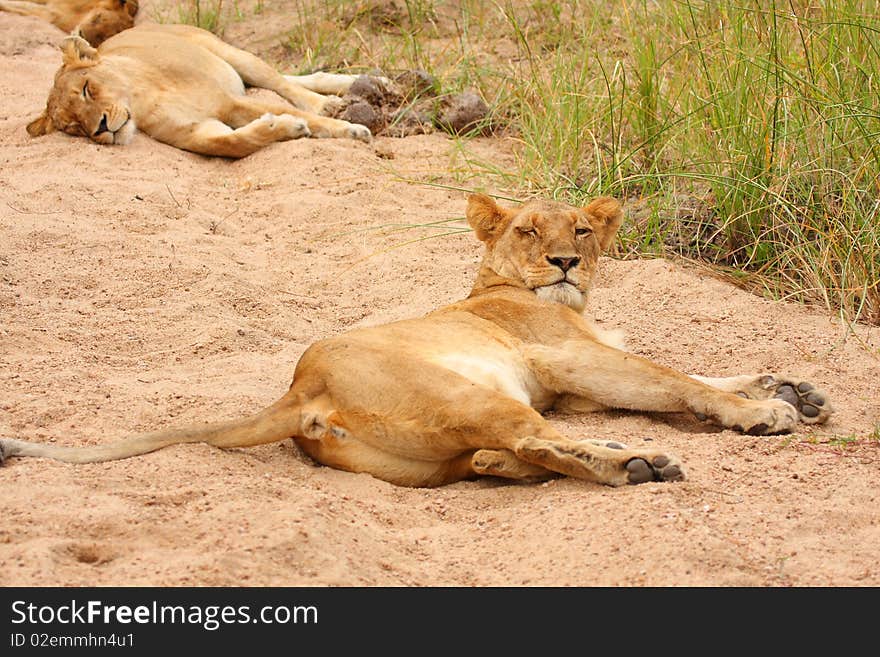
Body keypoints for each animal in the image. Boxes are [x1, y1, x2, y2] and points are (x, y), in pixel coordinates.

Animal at [0, 192, 832, 484]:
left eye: (581, 230)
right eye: (529, 231)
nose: (564, 262)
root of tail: (301, 391)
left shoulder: (575, 382)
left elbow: (692, 372)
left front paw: (791, 386)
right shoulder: (567, 359)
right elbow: (671, 377)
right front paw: (766, 410)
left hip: (436, 450)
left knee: (508, 454)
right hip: (469, 392)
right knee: (528, 438)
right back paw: (639, 461)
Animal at [25, 22, 372, 156]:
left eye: (86, 89)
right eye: (73, 127)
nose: (99, 128)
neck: (142, 98)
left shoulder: (230, 102)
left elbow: (300, 113)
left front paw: (351, 130)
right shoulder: (196, 132)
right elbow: (231, 143)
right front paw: (281, 127)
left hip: (229, 52)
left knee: (281, 82)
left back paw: (331, 102)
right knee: (287, 80)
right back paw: (360, 84)